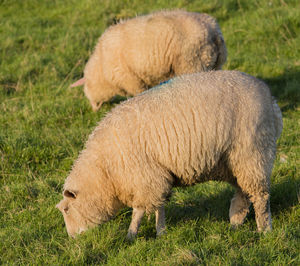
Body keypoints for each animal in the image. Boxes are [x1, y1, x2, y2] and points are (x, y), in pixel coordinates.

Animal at [56, 70, 284, 239]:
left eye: (66, 210)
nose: (72, 239)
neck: (105, 172)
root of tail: (270, 98)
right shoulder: (157, 177)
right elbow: (159, 205)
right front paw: (161, 232)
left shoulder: (145, 177)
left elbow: (140, 210)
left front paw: (131, 235)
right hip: (233, 161)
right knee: (243, 194)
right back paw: (235, 224)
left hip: (253, 152)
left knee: (260, 196)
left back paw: (265, 229)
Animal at [70, 10, 226, 111]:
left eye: (86, 88)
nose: (93, 109)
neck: (101, 67)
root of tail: (213, 30)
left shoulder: (131, 80)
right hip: (212, 63)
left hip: (192, 62)